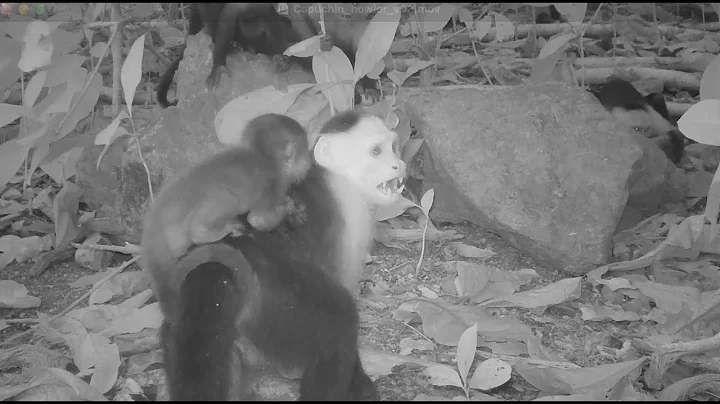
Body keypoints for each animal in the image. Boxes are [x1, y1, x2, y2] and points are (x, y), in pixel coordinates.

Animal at [142, 113, 312, 290]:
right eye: (305, 152)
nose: (308, 163)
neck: (266, 159)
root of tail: (157, 217)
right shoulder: (273, 186)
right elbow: (257, 220)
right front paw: (289, 206)